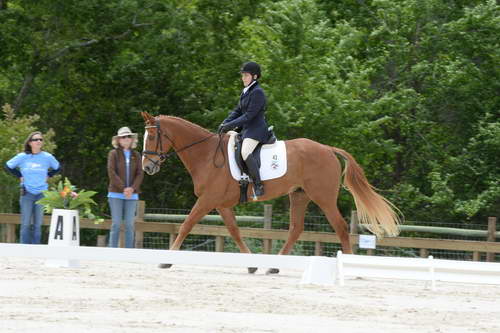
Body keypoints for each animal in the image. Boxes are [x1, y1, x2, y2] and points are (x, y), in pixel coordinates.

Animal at [143, 111, 400, 272]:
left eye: (153, 136)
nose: (147, 167)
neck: (206, 154)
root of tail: (327, 149)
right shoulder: (221, 204)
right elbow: (234, 231)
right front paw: (251, 264)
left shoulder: (208, 200)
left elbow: (186, 225)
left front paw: (167, 260)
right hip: (299, 195)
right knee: (296, 229)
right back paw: (275, 266)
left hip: (323, 197)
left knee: (340, 226)